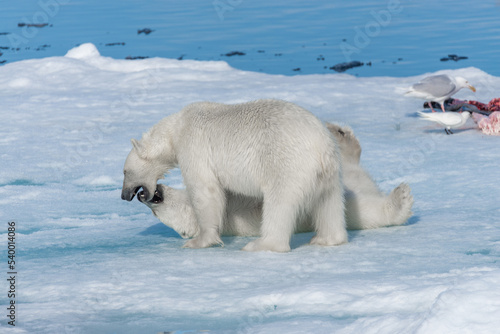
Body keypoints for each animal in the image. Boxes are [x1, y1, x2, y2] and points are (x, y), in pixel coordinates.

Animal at [122, 98, 348, 250]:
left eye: (125, 171)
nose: (125, 195)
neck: (175, 129)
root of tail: (320, 146)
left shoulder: (193, 145)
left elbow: (205, 190)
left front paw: (199, 241)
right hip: (329, 171)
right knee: (329, 201)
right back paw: (327, 238)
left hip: (287, 163)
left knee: (279, 203)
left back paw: (262, 245)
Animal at [140, 122, 414, 237]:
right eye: (156, 211)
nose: (150, 195)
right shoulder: (240, 220)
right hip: (355, 202)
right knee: (363, 209)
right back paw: (401, 200)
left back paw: (339, 133)